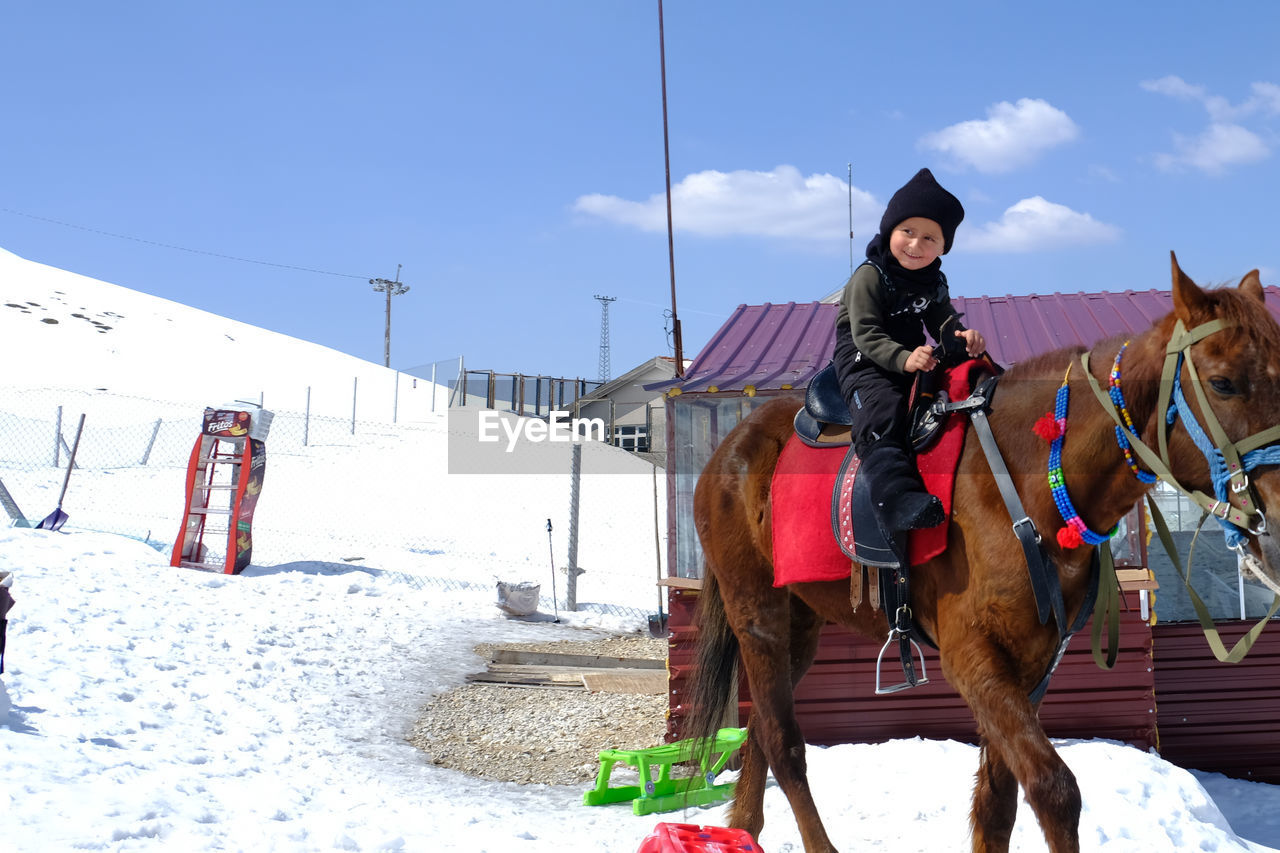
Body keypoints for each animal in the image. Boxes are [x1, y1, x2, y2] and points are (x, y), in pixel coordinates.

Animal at [686, 256, 1280, 850]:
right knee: (783, 742)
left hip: (799, 624)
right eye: (1223, 383)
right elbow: (1054, 790)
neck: (1028, 481)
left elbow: (998, 803)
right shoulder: (972, 657)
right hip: (757, 615)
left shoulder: (1031, 663)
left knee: (761, 729)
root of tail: (728, 449)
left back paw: (742, 828)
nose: (1275, 518)